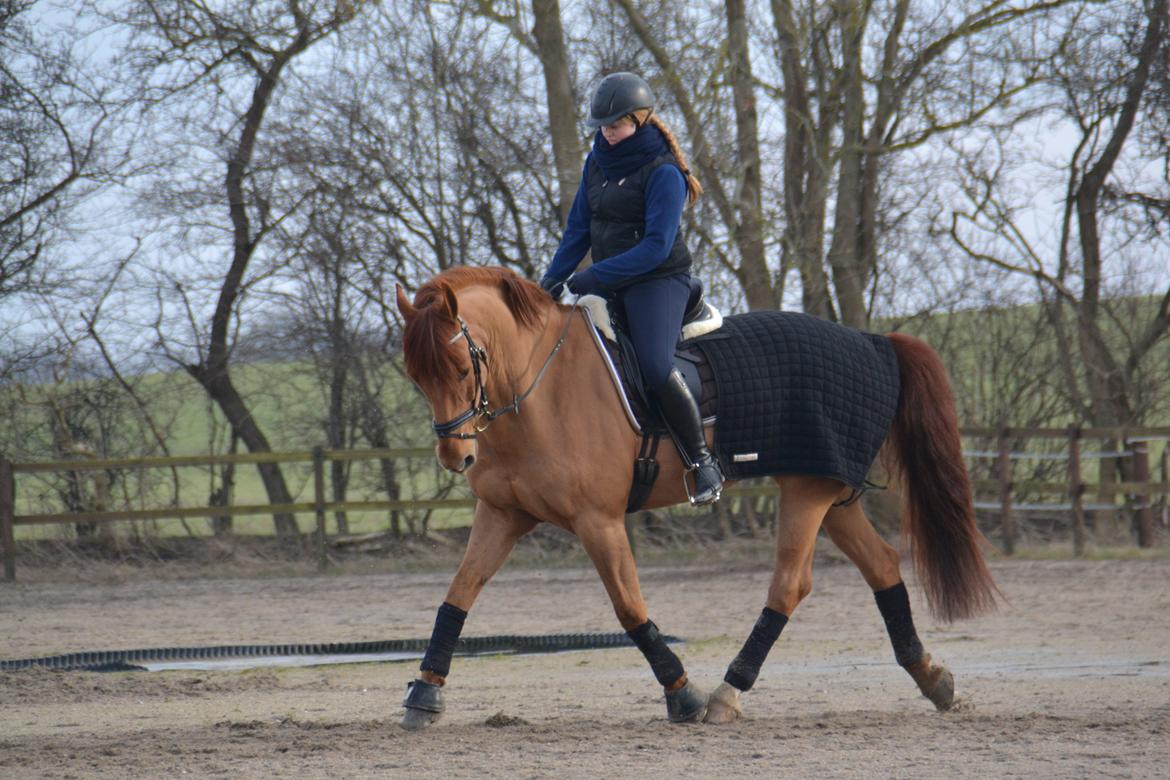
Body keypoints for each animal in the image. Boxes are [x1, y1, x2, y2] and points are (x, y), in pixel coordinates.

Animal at [395, 268, 996, 734]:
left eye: (461, 368)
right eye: (415, 375)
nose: (455, 456)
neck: (540, 388)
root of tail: (873, 341)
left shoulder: (598, 521)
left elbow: (629, 608)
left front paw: (681, 693)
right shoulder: (502, 514)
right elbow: (458, 593)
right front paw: (424, 693)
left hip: (807, 492)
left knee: (790, 585)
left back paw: (729, 693)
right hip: (831, 495)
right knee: (882, 566)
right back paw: (932, 678)